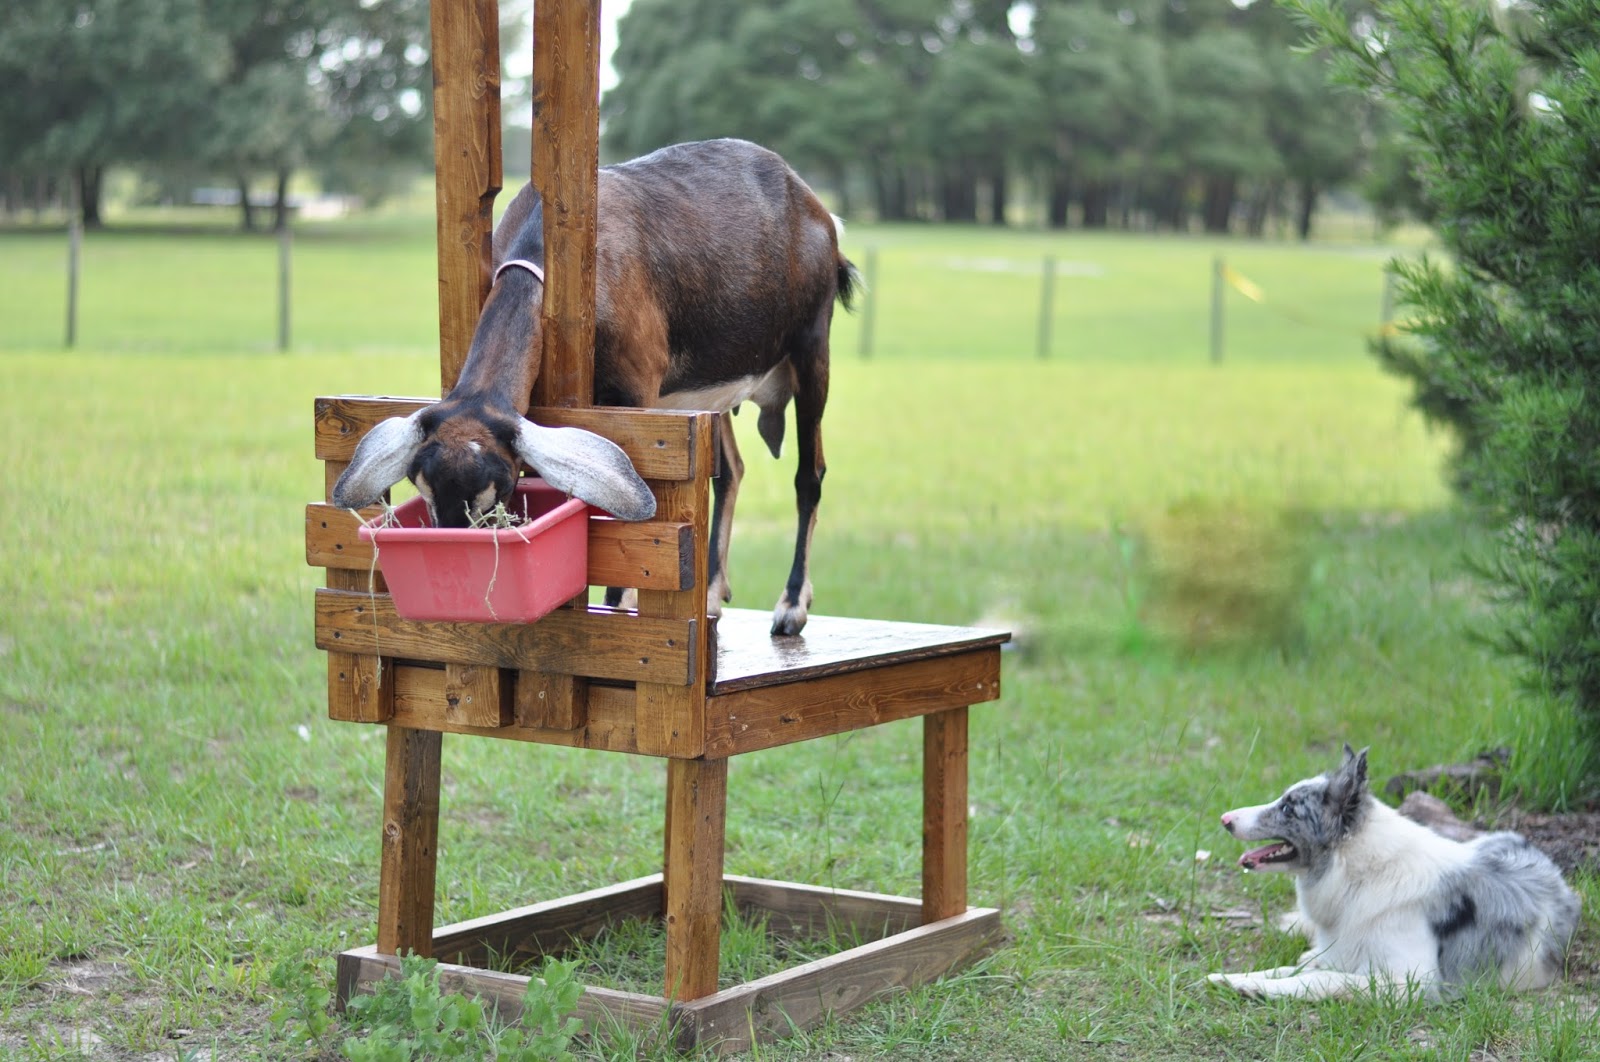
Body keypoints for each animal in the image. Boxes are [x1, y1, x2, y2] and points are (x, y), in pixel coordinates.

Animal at [332, 138, 857, 636]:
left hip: (812, 347)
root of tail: (817, 209)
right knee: (731, 471)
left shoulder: (640, 389)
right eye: (421, 490)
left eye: (494, 497)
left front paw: (617, 604)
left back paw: (791, 606)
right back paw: (710, 594)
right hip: (709, 390)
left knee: (810, 474)